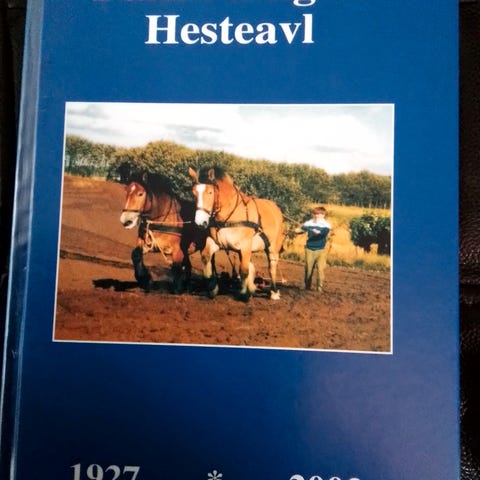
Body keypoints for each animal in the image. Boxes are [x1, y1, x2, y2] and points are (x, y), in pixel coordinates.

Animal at [188, 166, 284, 301]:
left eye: (210, 192)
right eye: (194, 193)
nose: (200, 222)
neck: (229, 216)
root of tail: (275, 208)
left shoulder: (245, 245)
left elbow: (244, 270)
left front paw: (244, 293)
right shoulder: (217, 242)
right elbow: (206, 257)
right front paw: (212, 288)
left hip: (272, 247)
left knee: (272, 267)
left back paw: (274, 292)